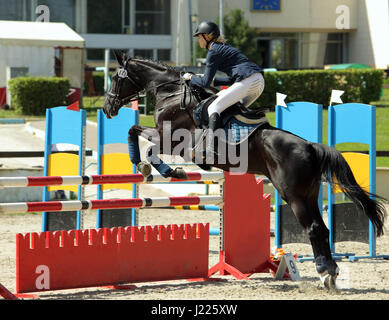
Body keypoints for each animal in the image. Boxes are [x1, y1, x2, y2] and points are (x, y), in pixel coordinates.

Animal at [102, 50, 384, 290]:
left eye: (116, 78)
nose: (107, 108)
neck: (171, 92)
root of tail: (311, 147)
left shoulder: (172, 140)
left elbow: (146, 143)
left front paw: (160, 168)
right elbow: (134, 131)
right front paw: (144, 165)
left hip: (292, 195)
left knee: (314, 228)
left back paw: (325, 273)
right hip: (308, 194)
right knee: (322, 229)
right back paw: (330, 273)